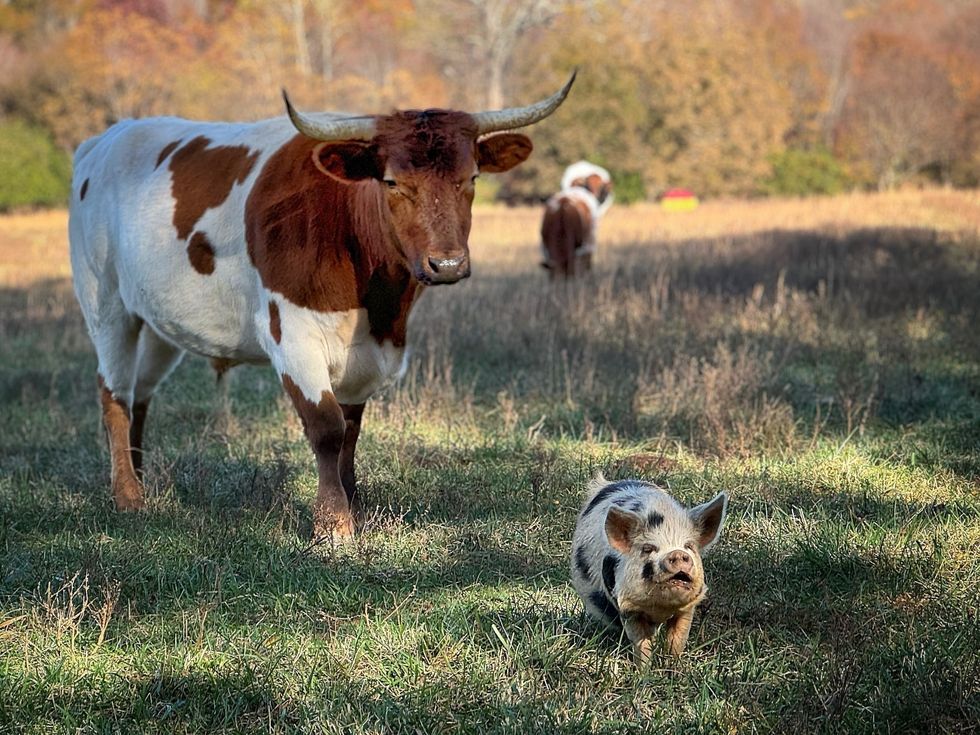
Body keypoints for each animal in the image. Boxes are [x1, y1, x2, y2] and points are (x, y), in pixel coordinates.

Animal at [68, 74, 575, 539]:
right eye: (392, 181)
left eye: (470, 178)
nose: (447, 263)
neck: (376, 304)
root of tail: (105, 139)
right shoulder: (293, 337)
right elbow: (328, 428)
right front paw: (333, 524)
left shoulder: (369, 352)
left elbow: (351, 430)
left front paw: (355, 506)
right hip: (107, 306)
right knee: (114, 393)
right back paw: (128, 496)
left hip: (159, 323)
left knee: (140, 394)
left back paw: (139, 477)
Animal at [570, 475, 728, 664]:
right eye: (648, 548)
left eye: (689, 546)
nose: (677, 553)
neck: (660, 607)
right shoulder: (629, 608)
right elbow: (642, 643)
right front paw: (644, 669)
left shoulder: (687, 608)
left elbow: (677, 640)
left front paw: (673, 666)